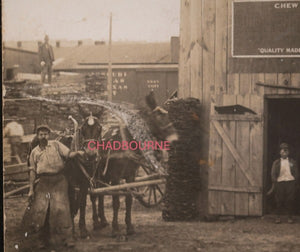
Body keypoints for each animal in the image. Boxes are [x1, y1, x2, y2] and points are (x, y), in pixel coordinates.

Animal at [62, 92, 177, 238]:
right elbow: (116, 201)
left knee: (99, 195)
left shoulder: (130, 176)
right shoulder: (116, 177)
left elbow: (128, 199)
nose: (175, 139)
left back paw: (102, 220)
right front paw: (115, 228)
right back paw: (96, 222)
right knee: (93, 196)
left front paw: (129, 226)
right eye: (160, 118)